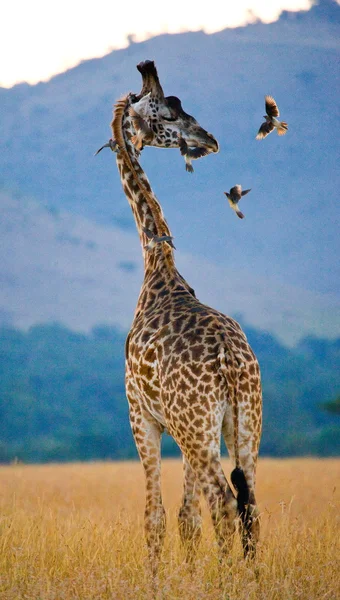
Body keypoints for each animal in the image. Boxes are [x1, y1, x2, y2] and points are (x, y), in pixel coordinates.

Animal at [103, 61, 262, 576]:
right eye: (167, 113)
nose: (208, 139)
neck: (159, 267)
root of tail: (231, 361)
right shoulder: (181, 429)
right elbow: (186, 519)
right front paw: (188, 581)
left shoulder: (142, 417)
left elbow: (155, 518)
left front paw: (157, 583)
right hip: (241, 424)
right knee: (249, 505)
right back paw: (251, 580)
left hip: (199, 429)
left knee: (226, 504)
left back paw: (232, 581)